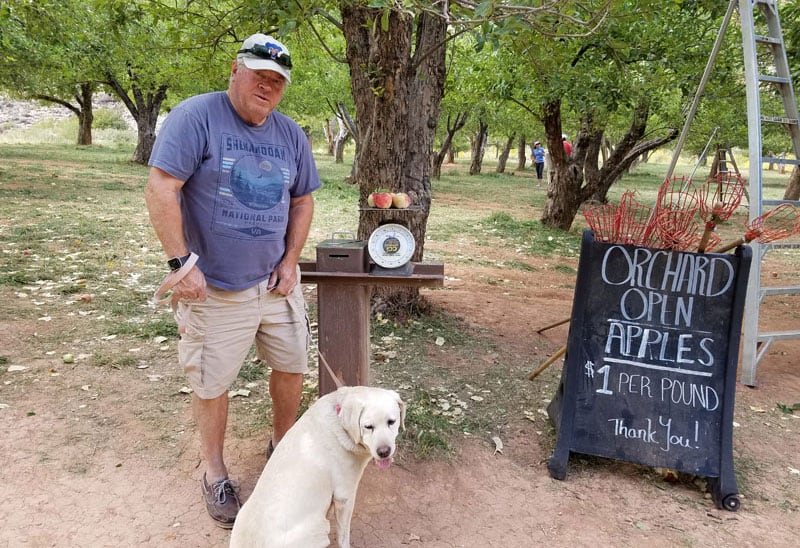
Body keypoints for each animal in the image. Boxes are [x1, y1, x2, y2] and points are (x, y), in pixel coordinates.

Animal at [230, 386, 406, 548]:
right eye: (368, 427)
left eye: (391, 422)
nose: (384, 452)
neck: (340, 421)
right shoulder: (345, 497)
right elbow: (344, 536)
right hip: (319, 528)